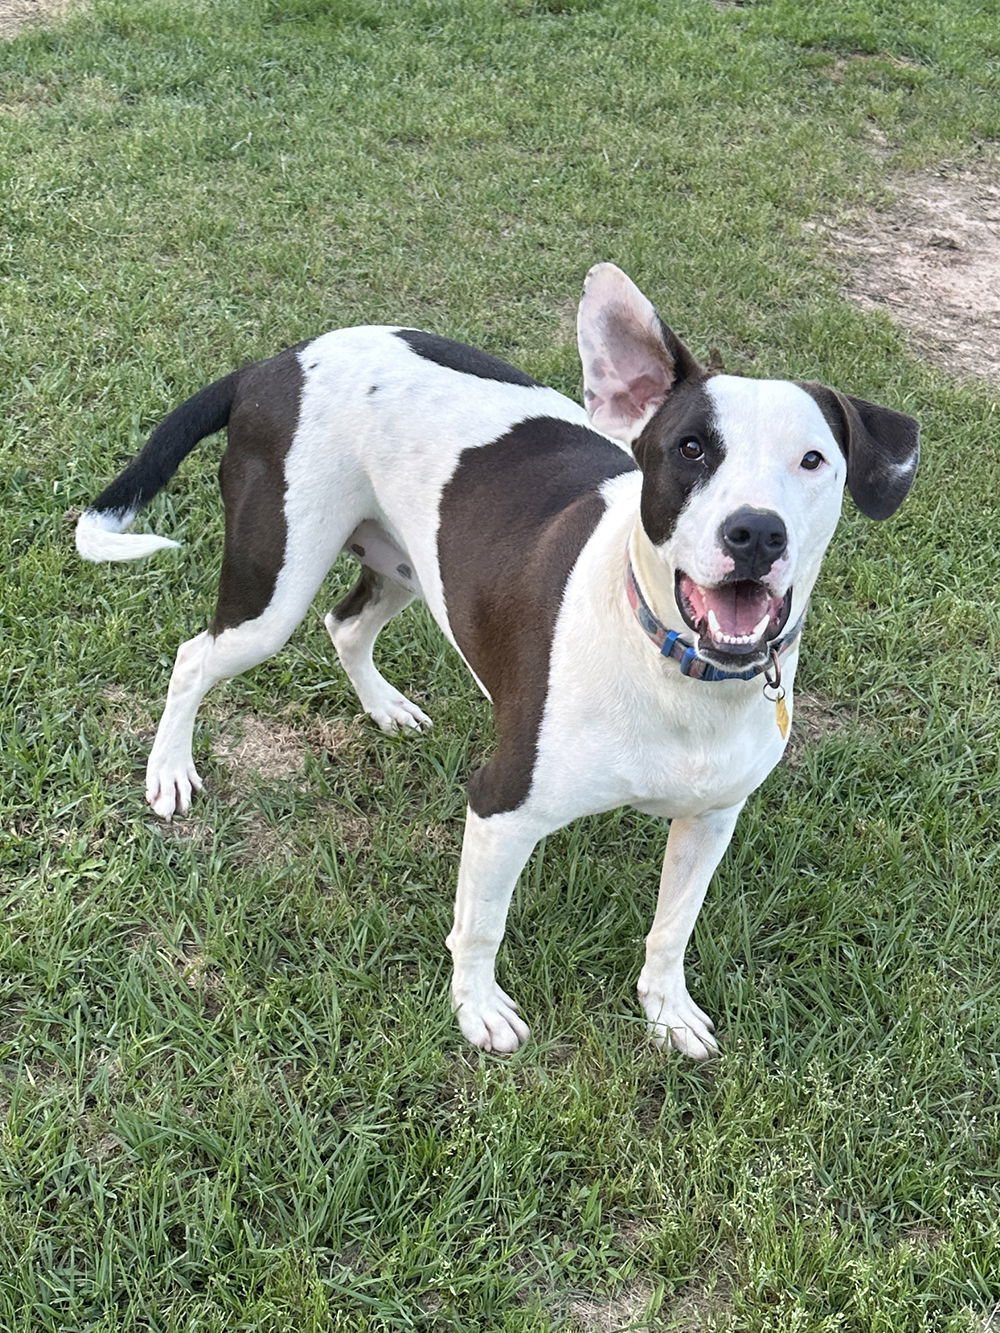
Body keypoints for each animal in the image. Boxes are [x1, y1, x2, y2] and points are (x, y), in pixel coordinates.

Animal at [76, 265, 922, 1055]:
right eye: (691, 448)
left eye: (813, 460)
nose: (756, 532)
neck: (677, 671)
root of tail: (275, 362)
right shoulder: (501, 807)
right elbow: (481, 924)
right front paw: (477, 1008)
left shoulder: (712, 818)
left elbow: (671, 928)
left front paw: (666, 1009)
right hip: (271, 589)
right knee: (195, 655)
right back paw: (170, 770)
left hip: (408, 564)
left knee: (345, 625)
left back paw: (385, 706)